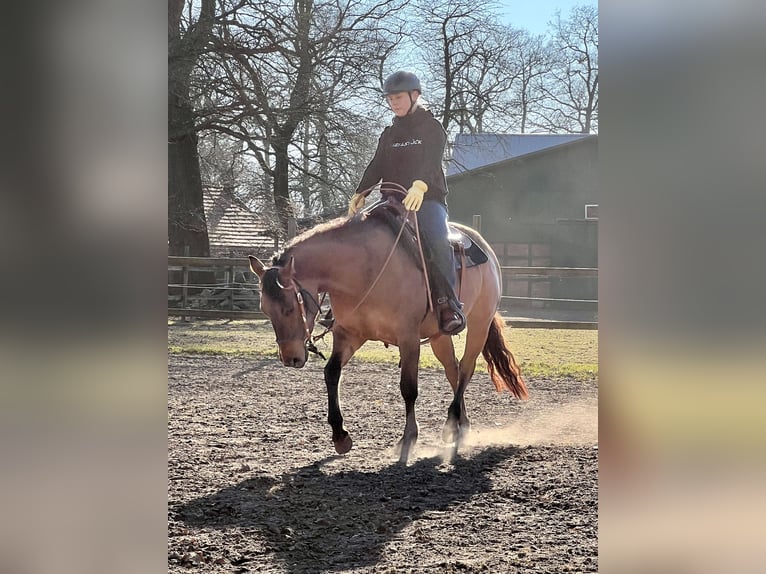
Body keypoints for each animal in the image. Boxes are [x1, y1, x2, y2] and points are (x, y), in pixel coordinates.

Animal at [250, 196, 528, 466]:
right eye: (264, 309)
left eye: (288, 308)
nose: (290, 358)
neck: (363, 269)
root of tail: (486, 249)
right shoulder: (350, 334)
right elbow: (331, 373)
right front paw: (340, 435)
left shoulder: (409, 338)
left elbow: (408, 388)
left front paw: (408, 439)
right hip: (439, 336)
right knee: (454, 370)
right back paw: (461, 425)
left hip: (479, 323)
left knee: (466, 368)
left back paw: (451, 425)